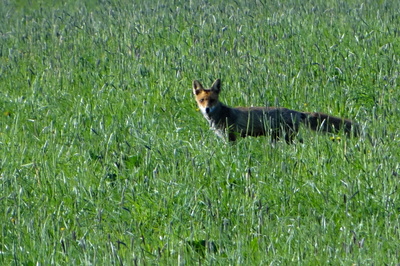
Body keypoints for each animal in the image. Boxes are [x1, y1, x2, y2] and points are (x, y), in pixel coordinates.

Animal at [193, 78, 360, 142]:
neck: (220, 114)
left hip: (287, 137)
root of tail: (296, 112)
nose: (207, 109)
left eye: (212, 100)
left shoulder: (231, 137)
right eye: (202, 100)